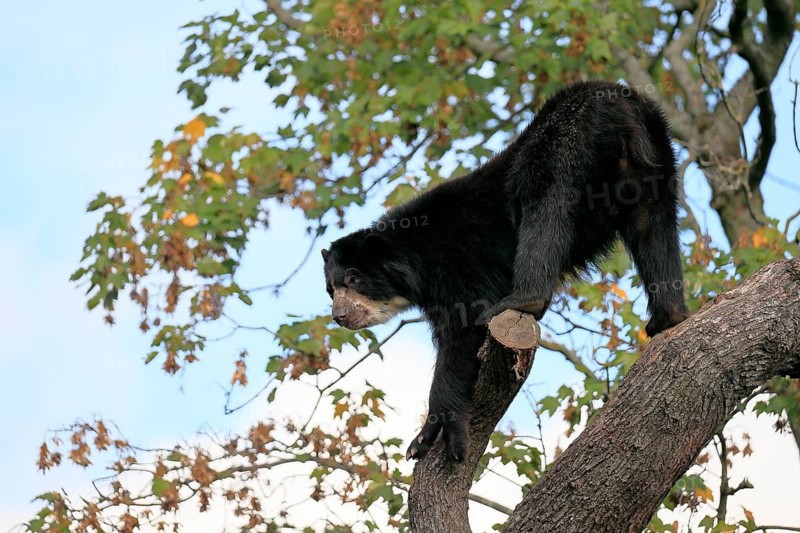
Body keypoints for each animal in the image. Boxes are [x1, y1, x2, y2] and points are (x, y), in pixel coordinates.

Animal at [321, 81, 689, 462]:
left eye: (354, 278)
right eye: (331, 290)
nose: (339, 315)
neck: (417, 262)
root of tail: (620, 99)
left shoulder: (461, 266)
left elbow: (462, 331)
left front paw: (432, 435)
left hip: (567, 141)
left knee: (545, 202)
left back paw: (523, 300)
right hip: (655, 159)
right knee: (653, 225)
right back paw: (669, 316)